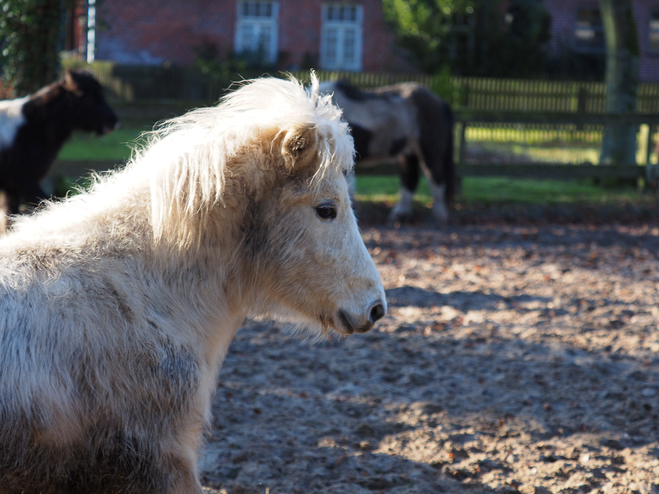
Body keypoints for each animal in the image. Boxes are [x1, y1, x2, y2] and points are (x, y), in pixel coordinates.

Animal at [318, 80, 454, 222]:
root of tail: (440, 102)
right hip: (407, 154)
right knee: (410, 178)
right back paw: (400, 214)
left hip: (430, 151)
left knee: (436, 178)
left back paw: (439, 216)